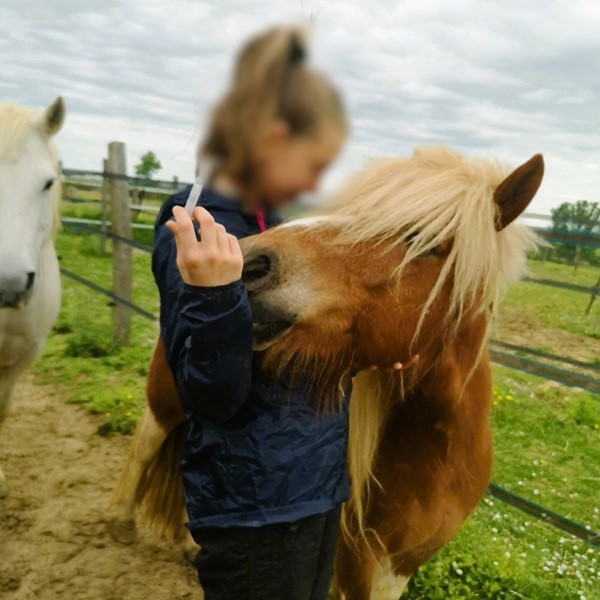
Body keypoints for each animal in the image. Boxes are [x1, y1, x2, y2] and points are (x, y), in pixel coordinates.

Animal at [111, 148, 544, 596]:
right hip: (166, 398)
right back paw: (120, 520)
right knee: (146, 441)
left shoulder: (402, 563)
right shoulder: (355, 560)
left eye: (422, 242)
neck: (434, 451)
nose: (248, 261)